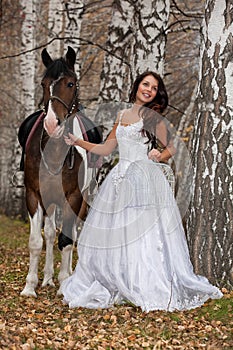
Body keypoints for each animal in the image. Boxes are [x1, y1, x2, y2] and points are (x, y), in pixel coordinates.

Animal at [20, 46, 86, 296]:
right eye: (43, 83)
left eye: (70, 83)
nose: (51, 124)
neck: (56, 151)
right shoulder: (34, 195)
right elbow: (36, 241)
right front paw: (30, 286)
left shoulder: (73, 197)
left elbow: (66, 240)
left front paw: (65, 284)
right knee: (49, 234)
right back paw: (48, 277)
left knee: (71, 235)